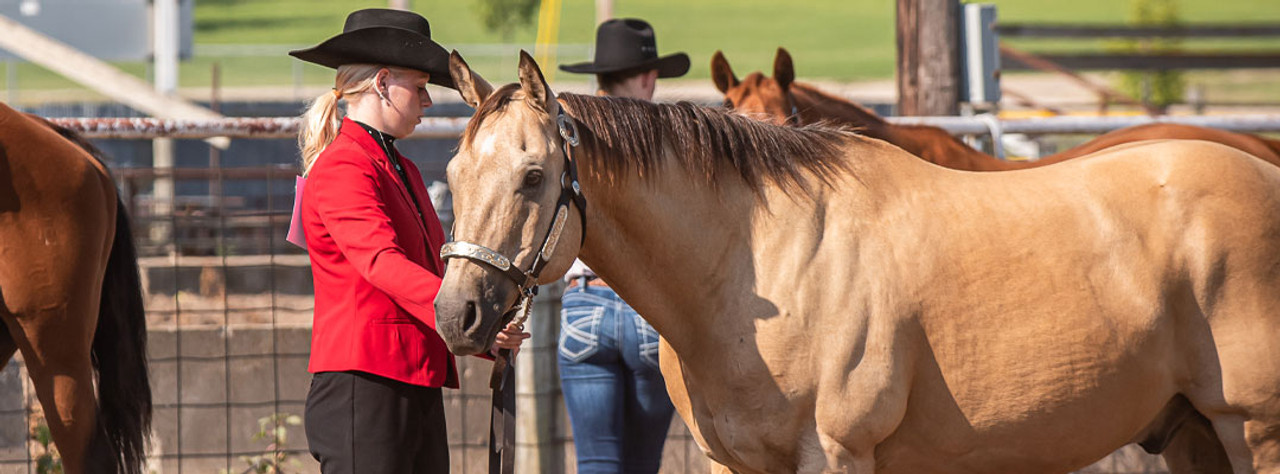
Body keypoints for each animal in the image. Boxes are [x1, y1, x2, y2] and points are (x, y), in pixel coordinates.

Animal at [434, 51, 1280, 473]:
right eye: (453, 173)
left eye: (532, 176)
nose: (457, 313)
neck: (756, 267)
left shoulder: (838, 456)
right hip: (1196, 436)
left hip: (1253, 431)